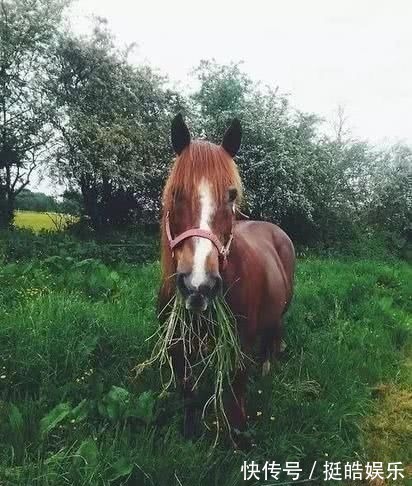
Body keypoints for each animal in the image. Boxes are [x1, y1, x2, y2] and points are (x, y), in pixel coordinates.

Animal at [159, 113, 296, 440]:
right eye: (176, 193)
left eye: (231, 195)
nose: (198, 285)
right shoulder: (178, 349)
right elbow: (188, 393)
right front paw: (190, 431)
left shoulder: (238, 345)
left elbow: (235, 392)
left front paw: (238, 437)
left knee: (274, 332)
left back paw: (268, 365)